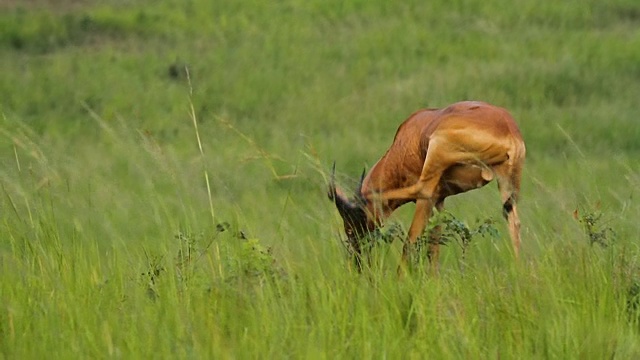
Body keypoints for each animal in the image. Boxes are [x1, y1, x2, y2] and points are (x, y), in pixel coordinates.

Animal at [330, 100, 524, 270]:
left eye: (351, 226)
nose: (358, 261)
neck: (410, 132)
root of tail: (509, 129)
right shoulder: (439, 201)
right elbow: (434, 246)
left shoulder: (428, 199)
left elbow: (411, 241)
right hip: (506, 182)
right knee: (514, 223)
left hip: (438, 148)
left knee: (420, 190)